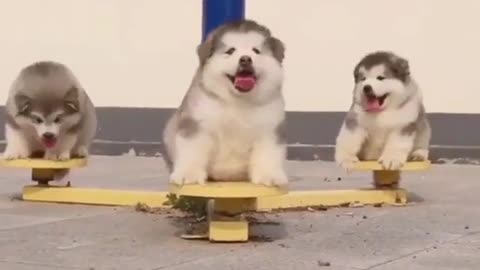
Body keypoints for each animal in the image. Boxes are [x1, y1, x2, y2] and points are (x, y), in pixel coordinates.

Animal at [163, 19, 286, 187]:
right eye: (230, 51)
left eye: (256, 51)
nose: (245, 59)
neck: (237, 101)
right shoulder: (196, 124)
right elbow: (192, 151)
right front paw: (189, 174)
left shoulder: (269, 130)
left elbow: (269, 154)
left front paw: (270, 175)